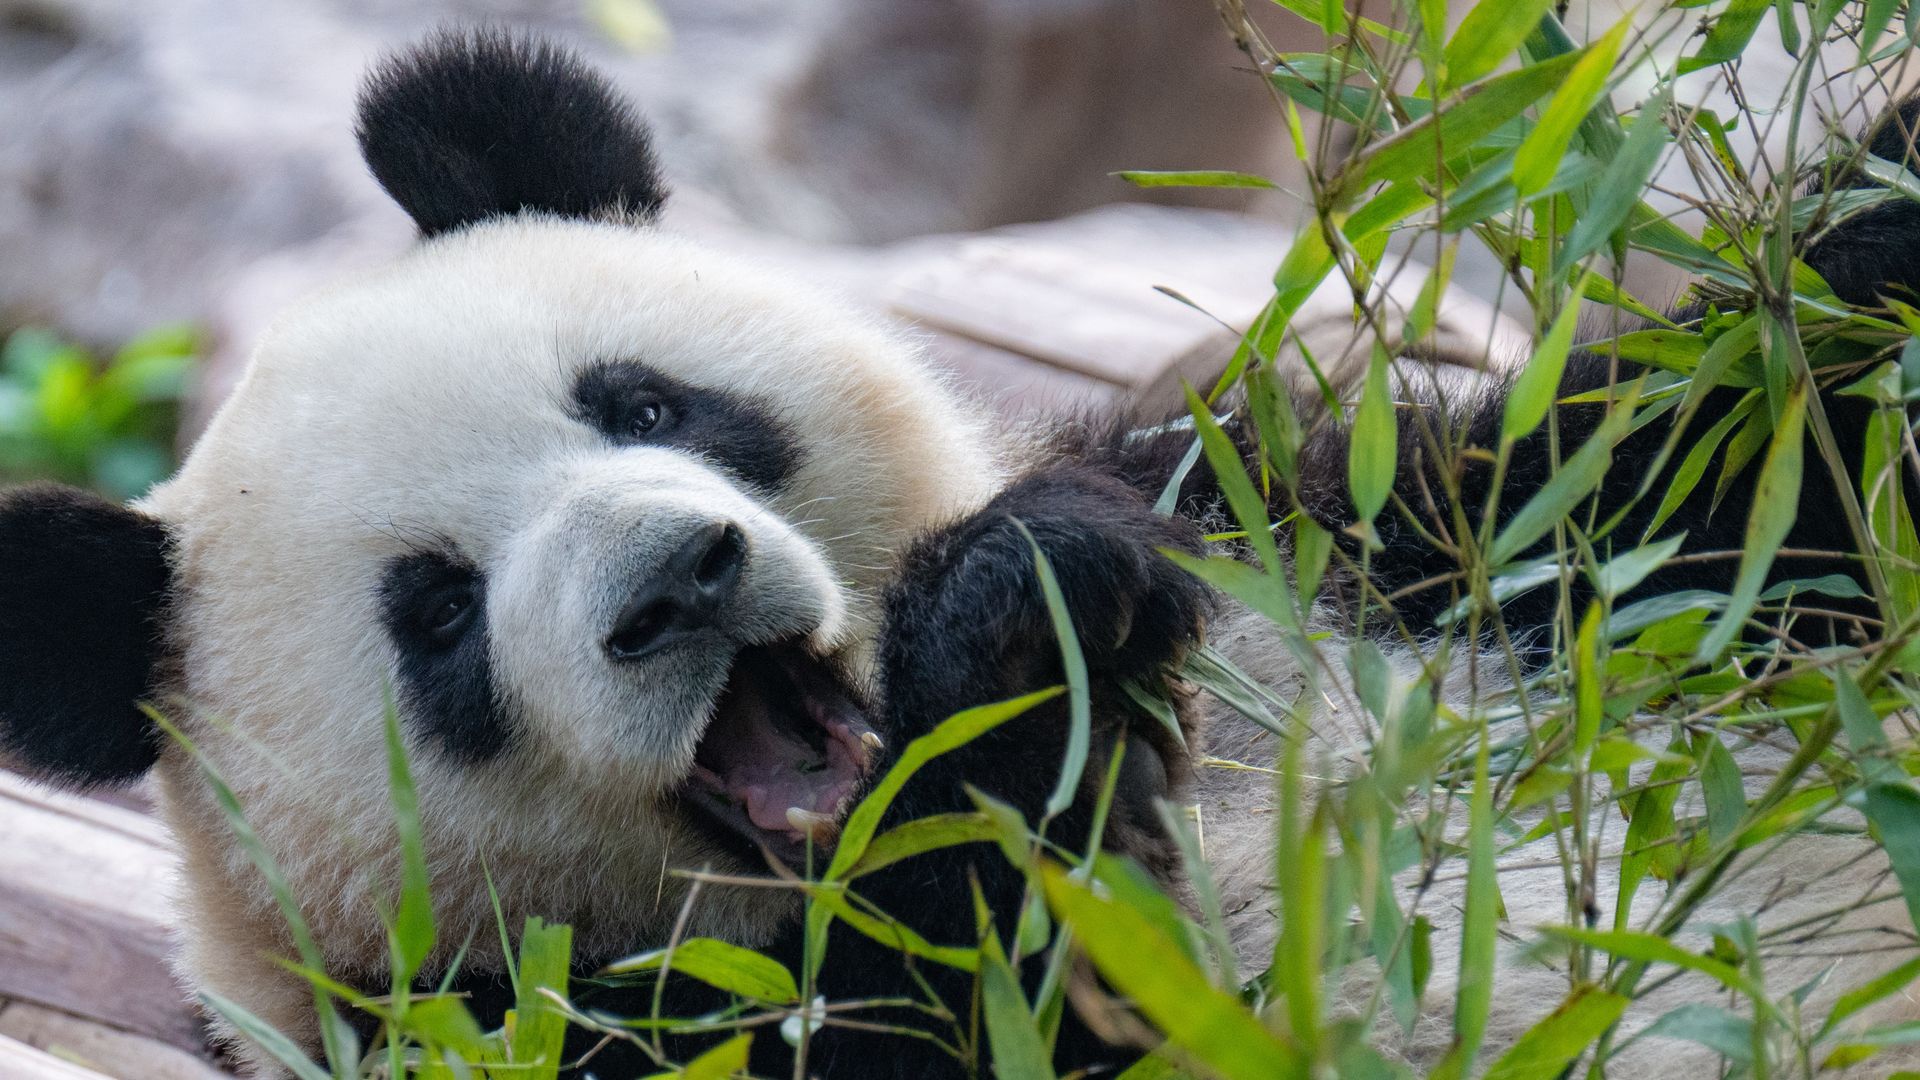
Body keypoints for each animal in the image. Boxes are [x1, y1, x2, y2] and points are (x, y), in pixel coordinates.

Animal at [0, 25, 1912, 1076]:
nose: (678, 587)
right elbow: (1018, 993)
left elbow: (1732, 471)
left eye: (648, 404)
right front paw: (1012, 661)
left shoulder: (1343, 547)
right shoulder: (563, 1030)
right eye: (442, 621)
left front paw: (1031, 591)